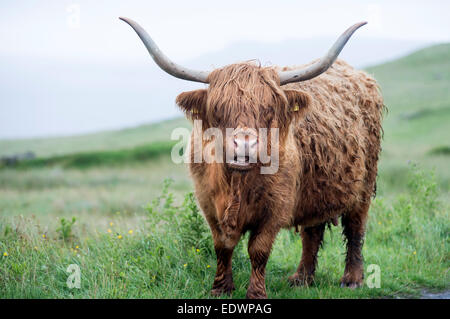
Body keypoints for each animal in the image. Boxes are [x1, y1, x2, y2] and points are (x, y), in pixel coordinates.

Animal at [121, 18, 384, 300]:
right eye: (218, 109)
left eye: (268, 108)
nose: (245, 144)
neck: (237, 182)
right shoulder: (208, 203)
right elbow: (222, 245)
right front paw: (221, 289)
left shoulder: (276, 207)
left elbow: (258, 250)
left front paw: (256, 293)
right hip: (315, 188)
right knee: (311, 230)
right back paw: (301, 278)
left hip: (364, 184)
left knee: (355, 227)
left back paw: (352, 279)